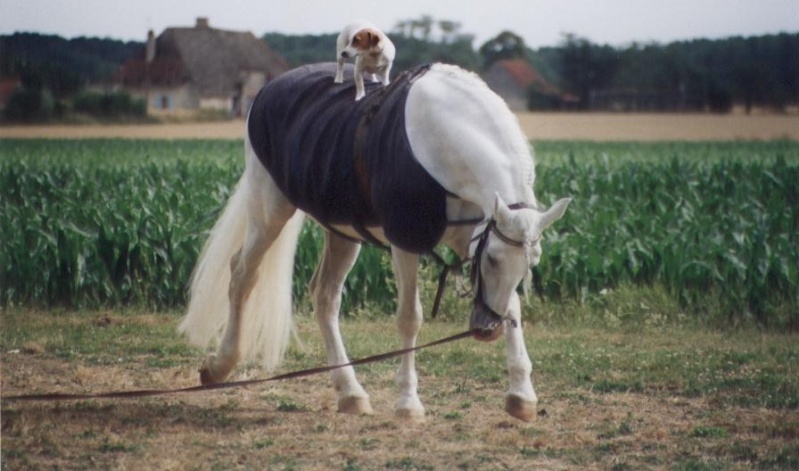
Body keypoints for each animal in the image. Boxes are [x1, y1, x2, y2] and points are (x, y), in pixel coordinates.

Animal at [179, 61, 572, 420]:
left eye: (532, 263)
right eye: (492, 259)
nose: (486, 328)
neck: (442, 140)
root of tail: (269, 89)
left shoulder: (469, 236)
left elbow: (513, 307)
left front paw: (521, 395)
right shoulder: (406, 241)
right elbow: (410, 318)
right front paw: (408, 403)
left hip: (342, 233)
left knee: (324, 297)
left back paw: (350, 393)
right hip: (269, 211)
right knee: (242, 273)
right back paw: (219, 366)